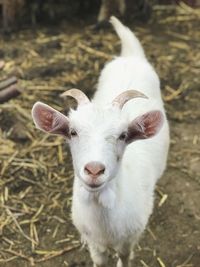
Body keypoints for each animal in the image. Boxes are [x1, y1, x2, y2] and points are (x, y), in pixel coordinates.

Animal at [31, 16, 169, 267]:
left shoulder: (130, 238)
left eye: (123, 135)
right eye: (72, 132)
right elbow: (100, 261)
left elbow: (124, 257)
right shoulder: (92, 242)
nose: (94, 170)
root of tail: (130, 56)